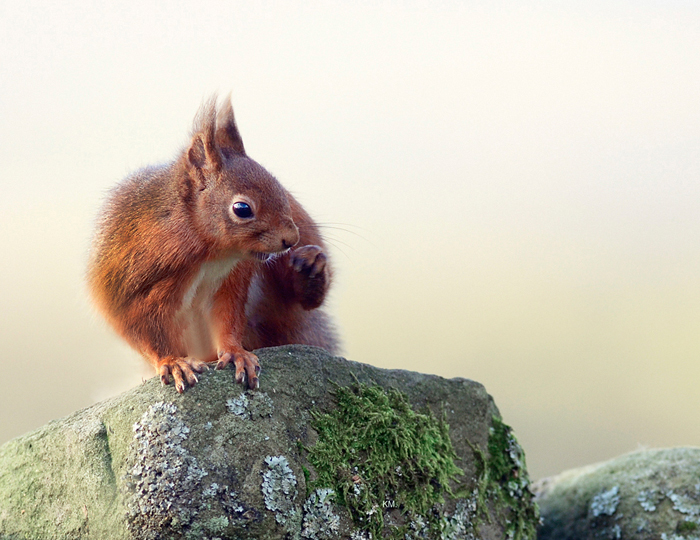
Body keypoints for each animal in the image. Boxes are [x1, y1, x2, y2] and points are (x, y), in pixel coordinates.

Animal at [87, 97, 338, 392]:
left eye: (279, 188)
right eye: (242, 209)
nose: (291, 239)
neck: (210, 253)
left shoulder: (231, 280)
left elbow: (228, 317)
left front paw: (237, 354)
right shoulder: (130, 286)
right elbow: (141, 329)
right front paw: (173, 362)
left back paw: (310, 268)